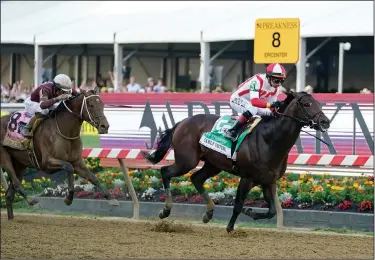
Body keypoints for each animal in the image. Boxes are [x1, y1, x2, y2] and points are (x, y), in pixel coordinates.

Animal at [0, 89, 120, 219]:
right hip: (5, 157)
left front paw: (111, 198)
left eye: (102, 105)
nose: (105, 126)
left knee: (9, 194)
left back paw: (11, 219)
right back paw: (33, 201)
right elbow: (69, 167)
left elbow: (93, 177)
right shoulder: (47, 162)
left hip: (20, 163)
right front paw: (68, 199)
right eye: (91, 105)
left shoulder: (78, 162)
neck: (64, 130)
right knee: (16, 183)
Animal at [142, 91, 332, 232]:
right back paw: (165, 210)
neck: (270, 139)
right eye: (306, 104)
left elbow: (271, 211)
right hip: (186, 161)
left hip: (213, 164)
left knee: (196, 178)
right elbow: (238, 204)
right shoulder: (247, 178)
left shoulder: (268, 181)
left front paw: (251, 212)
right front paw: (230, 227)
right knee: (166, 171)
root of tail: (182, 122)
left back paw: (208, 213)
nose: (325, 121)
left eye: (317, 102)